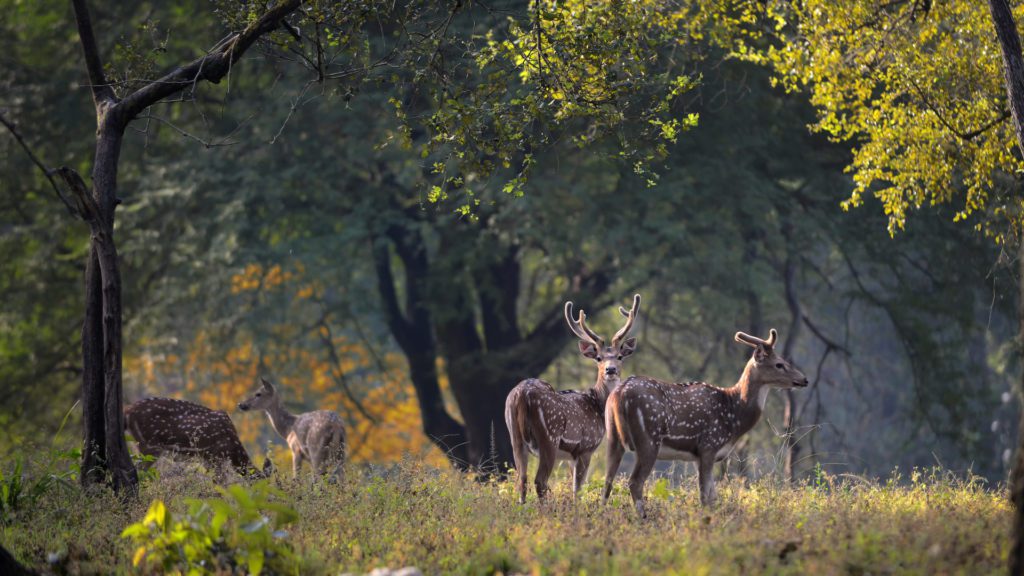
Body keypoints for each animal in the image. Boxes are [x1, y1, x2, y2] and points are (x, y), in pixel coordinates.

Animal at [503, 293, 638, 500]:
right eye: (598, 358)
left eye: (620, 357)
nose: (610, 370)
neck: (597, 405)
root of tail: (521, 396)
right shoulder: (586, 447)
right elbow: (577, 489)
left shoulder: (570, 456)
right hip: (549, 437)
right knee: (540, 481)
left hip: (515, 437)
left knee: (521, 481)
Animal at [598, 325, 806, 512]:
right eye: (779, 364)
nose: (804, 379)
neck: (734, 415)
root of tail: (619, 395)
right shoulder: (709, 445)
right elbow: (705, 497)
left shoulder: (700, 455)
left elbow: (713, 497)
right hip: (648, 439)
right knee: (635, 482)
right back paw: (643, 517)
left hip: (613, 437)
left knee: (607, 481)